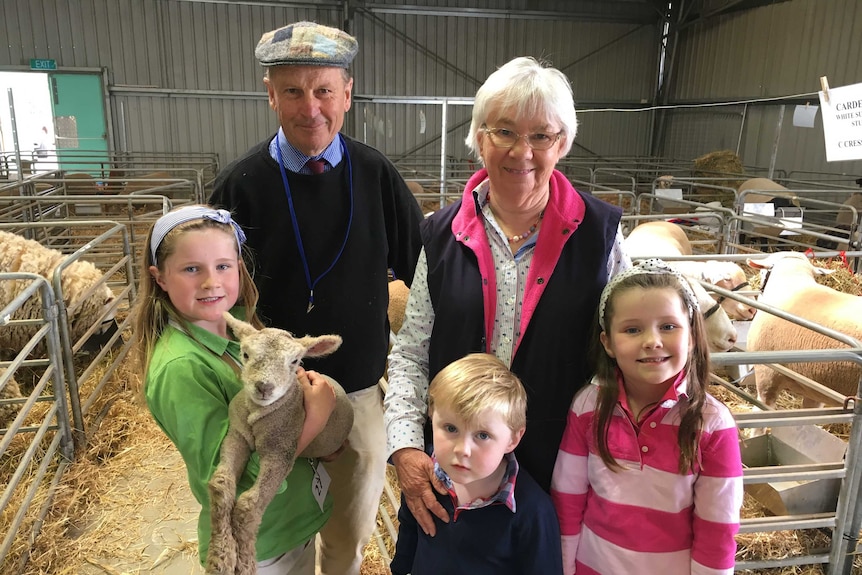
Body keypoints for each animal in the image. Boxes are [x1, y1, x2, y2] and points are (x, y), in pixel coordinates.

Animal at [208, 312, 354, 575]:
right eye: (245, 354)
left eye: (295, 361)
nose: (264, 387)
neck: (258, 415)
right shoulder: (236, 435)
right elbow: (220, 484)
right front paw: (220, 556)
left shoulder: (281, 451)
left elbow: (248, 505)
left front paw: (244, 563)